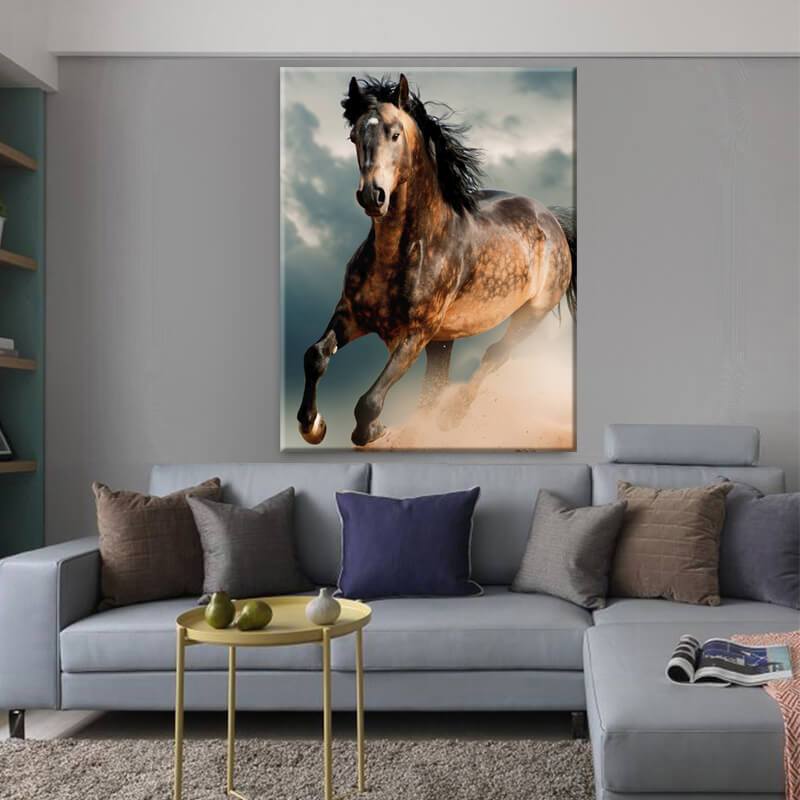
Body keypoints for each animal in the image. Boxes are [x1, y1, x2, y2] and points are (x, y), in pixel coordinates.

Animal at [297, 74, 576, 447]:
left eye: (395, 133)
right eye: (354, 136)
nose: (372, 195)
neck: (402, 252)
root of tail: (553, 221)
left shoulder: (416, 333)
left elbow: (369, 402)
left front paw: (372, 430)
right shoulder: (351, 315)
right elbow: (315, 355)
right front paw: (312, 425)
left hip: (531, 314)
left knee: (494, 355)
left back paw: (451, 416)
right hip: (444, 340)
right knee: (437, 384)